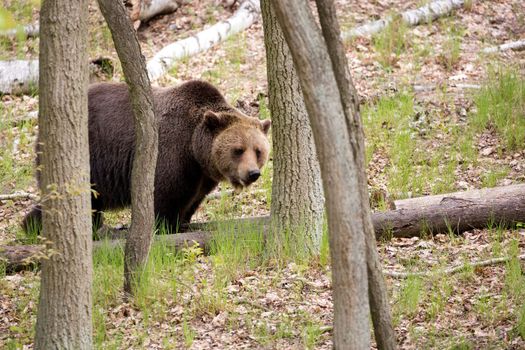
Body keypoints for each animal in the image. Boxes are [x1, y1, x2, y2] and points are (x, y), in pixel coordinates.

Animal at [22, 80, 270, 235]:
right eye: (238, 149)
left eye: (258, 151)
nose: (253, 173)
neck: (194, 149)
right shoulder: (170, 153)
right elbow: (165, 195)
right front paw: (165, 227)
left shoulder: (201, 176)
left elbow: (192, 200)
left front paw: (183, 222)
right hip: (90, 155)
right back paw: (34, 226)